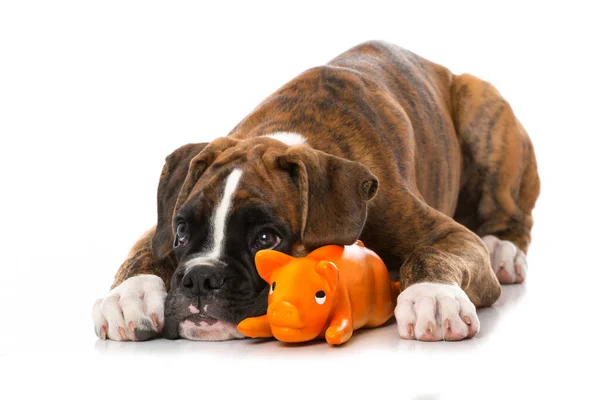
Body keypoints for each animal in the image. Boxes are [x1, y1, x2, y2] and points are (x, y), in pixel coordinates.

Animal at [92, 39, 540, 340]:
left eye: (266, 239)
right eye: (182, 231)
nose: (201, 278)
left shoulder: (450, 235)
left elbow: (432, 254)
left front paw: (432, 295)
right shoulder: (160, 225)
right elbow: (142, 252)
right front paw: (129, 296)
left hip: (482, 108)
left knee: (510, 212)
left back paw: (502, 249)